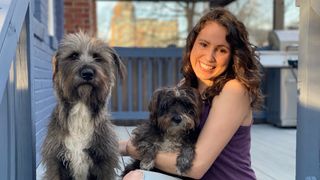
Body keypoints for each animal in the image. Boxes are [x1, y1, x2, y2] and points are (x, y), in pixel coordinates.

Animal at [40, 32, 125, 180]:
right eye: (73, 56)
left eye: (97, 57)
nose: (87, 73)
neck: (81, 108)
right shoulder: (55, 163)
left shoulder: (105, 163)